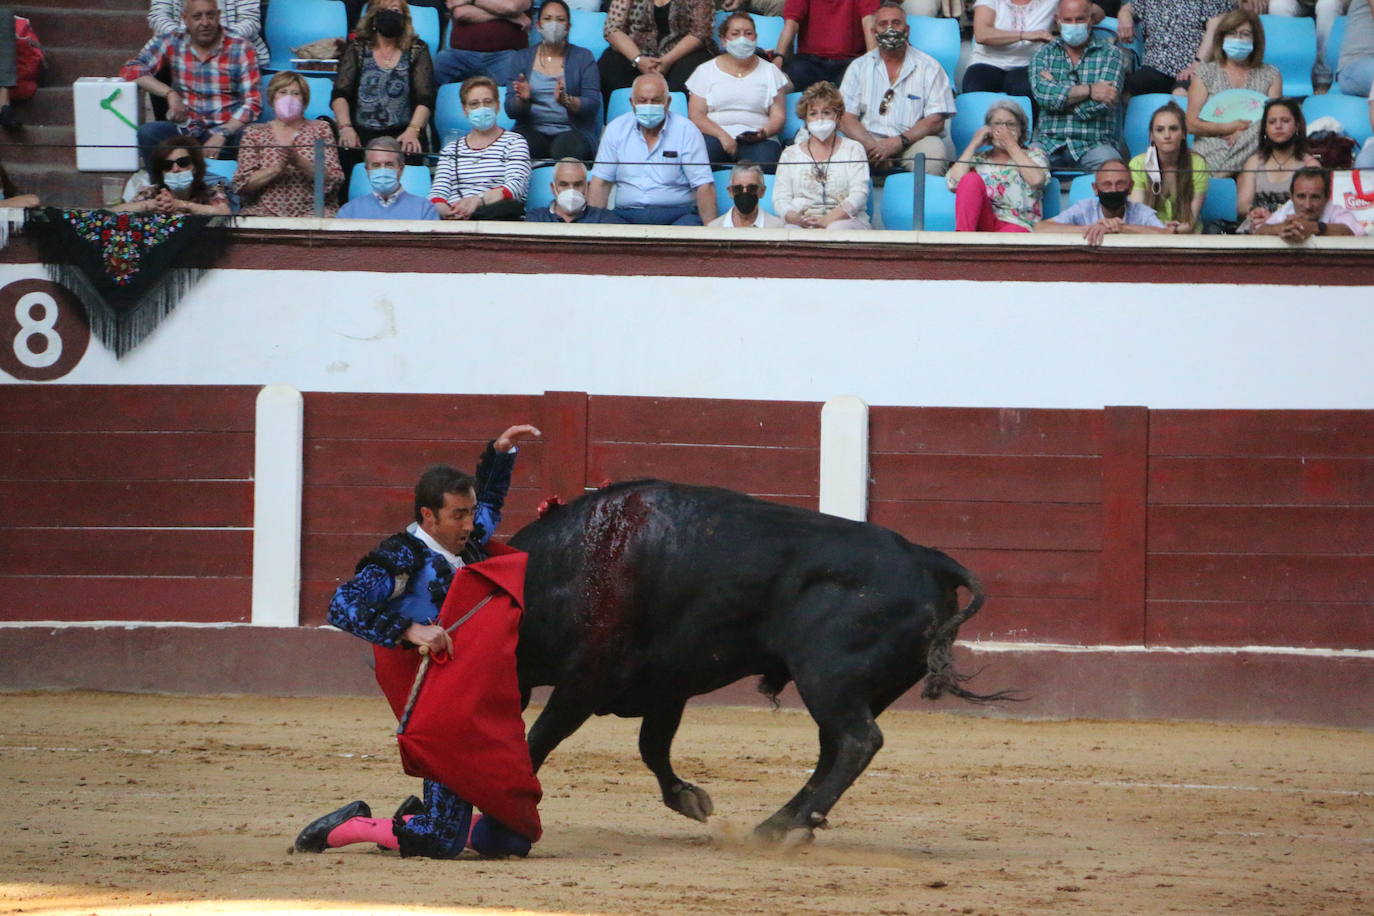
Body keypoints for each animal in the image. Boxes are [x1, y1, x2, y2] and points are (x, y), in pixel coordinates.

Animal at [511, 480, 1016, 845]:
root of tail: (930, 559)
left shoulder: (590, 677)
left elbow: (540, 738)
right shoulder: (666, 685)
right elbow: (652, 746)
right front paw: (689, 798)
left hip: (827, 679)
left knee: (857, 741)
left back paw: (794, 826)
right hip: (858, 689)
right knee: (834, 747)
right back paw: (779, 825)